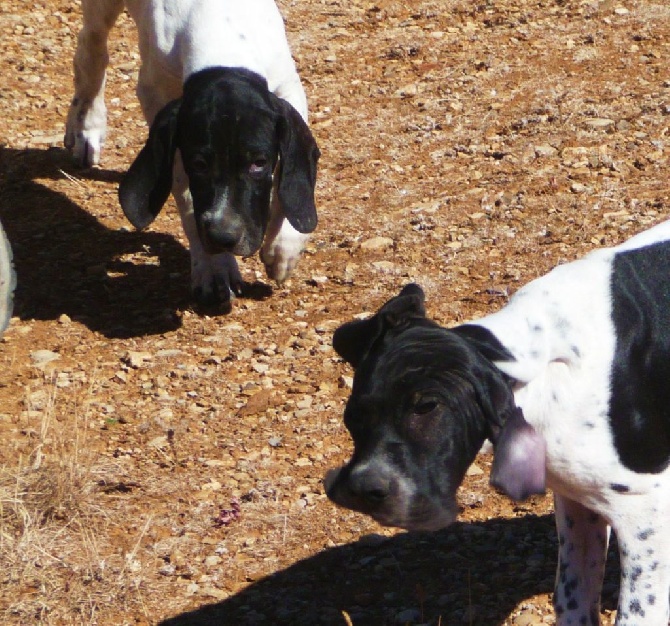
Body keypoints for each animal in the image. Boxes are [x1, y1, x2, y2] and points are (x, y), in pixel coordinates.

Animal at [64, 0, 322, 306]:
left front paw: (284, 246)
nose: (224, 237)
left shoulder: (287, 87)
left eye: (259, 163)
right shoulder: (154, 92)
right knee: (90, 46)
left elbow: (289, 178)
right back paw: (86, 126)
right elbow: (185, 192)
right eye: (199, 164)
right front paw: (214, 267)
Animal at [326, 222, 670, 620]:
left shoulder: (645, 516)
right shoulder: (578, 504)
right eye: (352, 418)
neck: (544, 373)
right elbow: (572, 601)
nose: (364, 489)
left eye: (426, 407)